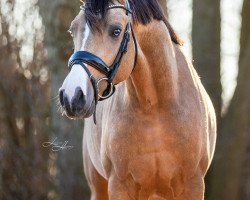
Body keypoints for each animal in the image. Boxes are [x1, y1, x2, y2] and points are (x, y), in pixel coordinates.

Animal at [58, 0, 217, 198]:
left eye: (116, 31)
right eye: (73, 30)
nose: (71, 96)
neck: (155, 107)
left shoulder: (193, 185)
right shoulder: (119, 185)